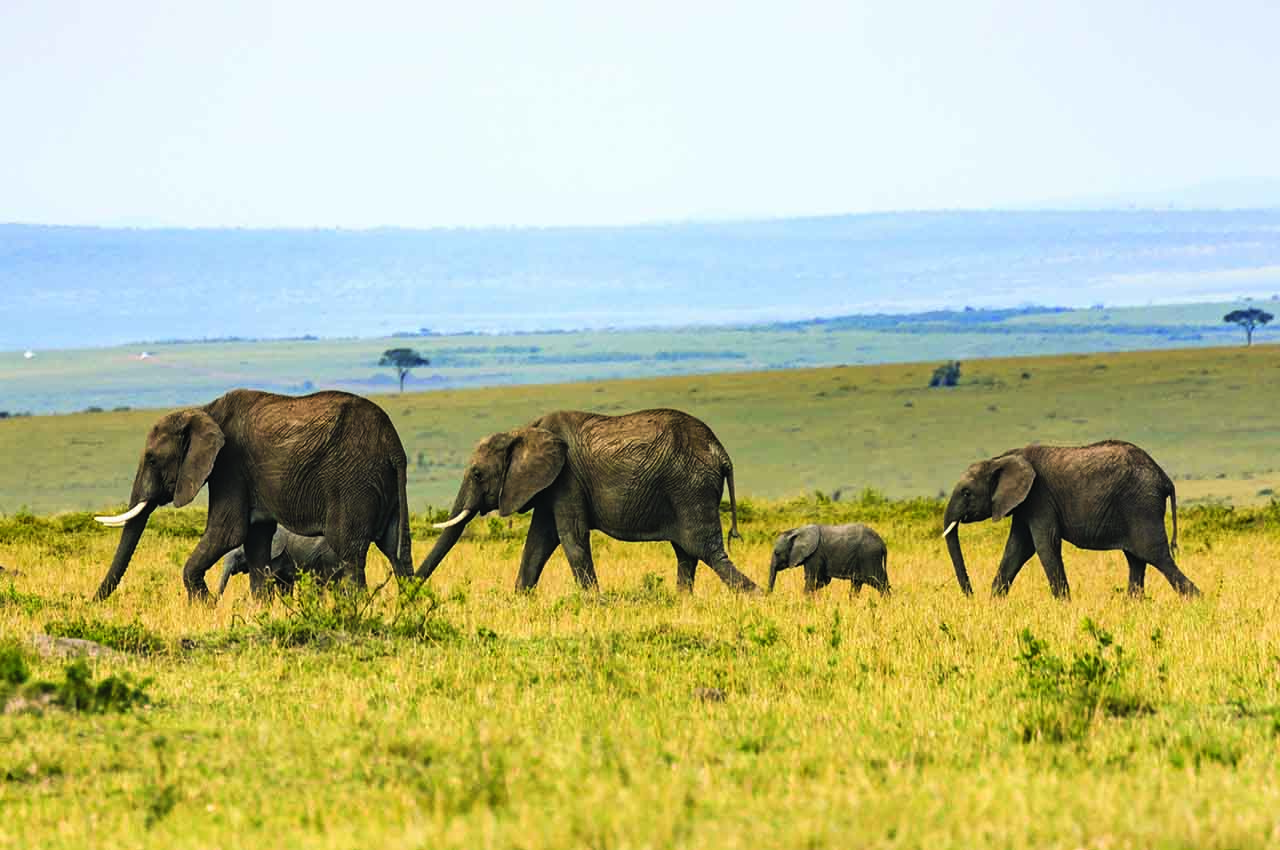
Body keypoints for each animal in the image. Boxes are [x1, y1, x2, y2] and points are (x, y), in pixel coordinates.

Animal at [93, 389, 412, 601]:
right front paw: (261, 609)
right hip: (384, 485)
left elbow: (228, 532)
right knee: (397, 550)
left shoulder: (229, 466)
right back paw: (410, 608)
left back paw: (354, 611)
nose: (92, 602)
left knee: (350, 551)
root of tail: (393, 446)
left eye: (152, 459)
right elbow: (256, 539)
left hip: (352, 482)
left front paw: (205, 606)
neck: (205, 411)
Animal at [417, 409, 757, 593]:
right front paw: (518, 599)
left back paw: (757, 596)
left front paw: (596, 602)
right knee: (687, 553)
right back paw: (681, 601)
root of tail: (722, 453)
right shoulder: (550, 485)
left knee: (706, 550)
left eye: (476, 474)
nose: (409, 590)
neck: (523, 430)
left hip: (690, 487)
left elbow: (571, 537)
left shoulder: (567, 479)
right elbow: (538, 541)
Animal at [942, 440, 1198, 601]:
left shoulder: (1039, 496)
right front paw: (994, 602)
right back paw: (1134, 605)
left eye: (966, 493)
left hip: (1141, 505)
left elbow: (1044, 544)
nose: (970, 596)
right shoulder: (1025, 504)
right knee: (1136, 559)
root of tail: (1165, 478)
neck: (1001, 458)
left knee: (1155, 555)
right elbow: (1017, 548)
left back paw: (1196, 600)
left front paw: (1064, 604)